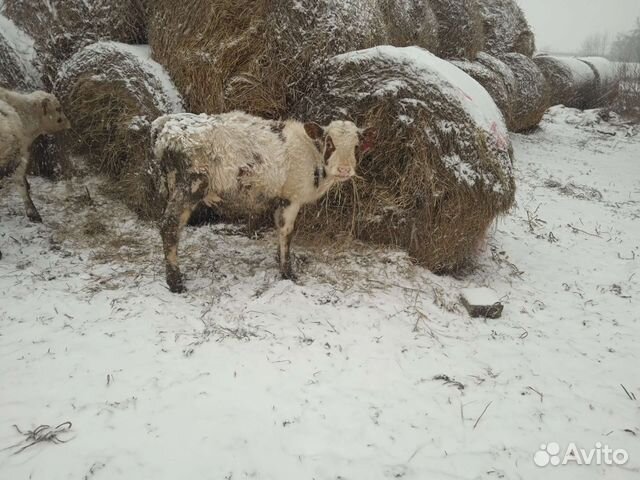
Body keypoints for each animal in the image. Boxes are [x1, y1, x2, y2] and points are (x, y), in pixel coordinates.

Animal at [151, 111, 376, 292]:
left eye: (356, 146)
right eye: (330, 143)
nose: (345, 169)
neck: (312, 156)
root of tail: (165, 124)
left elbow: (279, 231)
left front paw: (280, 259)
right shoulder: (291, 198)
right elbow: (287, 232)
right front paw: (287, 273)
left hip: (169, 187)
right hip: (190, 186)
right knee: (169, 227)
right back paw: (175, 283)